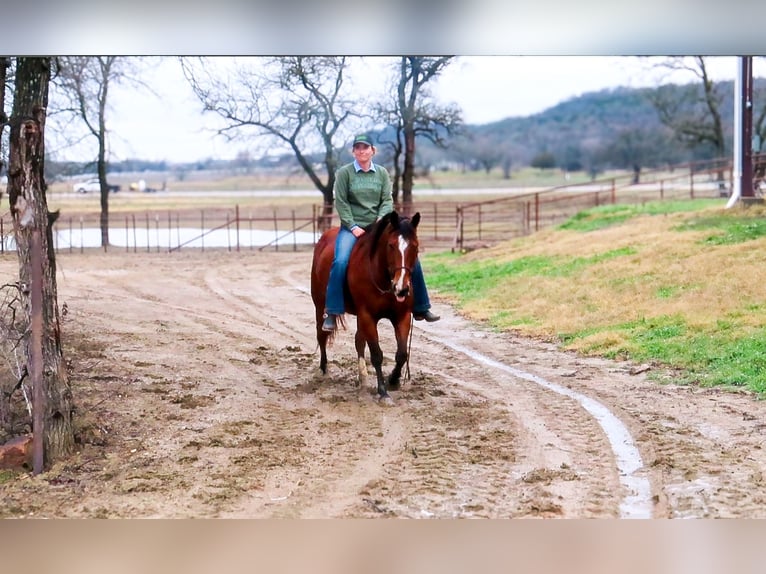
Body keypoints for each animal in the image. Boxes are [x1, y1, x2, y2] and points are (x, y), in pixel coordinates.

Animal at [310, 212, 424, 404]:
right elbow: (377, 355)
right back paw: (324, 369)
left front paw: (393, 380)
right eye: (391, 245)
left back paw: (362, 378)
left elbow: (401, 354)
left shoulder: (402, 316)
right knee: (321, 335)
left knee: (358, 342)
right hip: (320, 306)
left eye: (415, 246)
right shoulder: (367, 316)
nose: (402, 288)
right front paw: (383, 392)